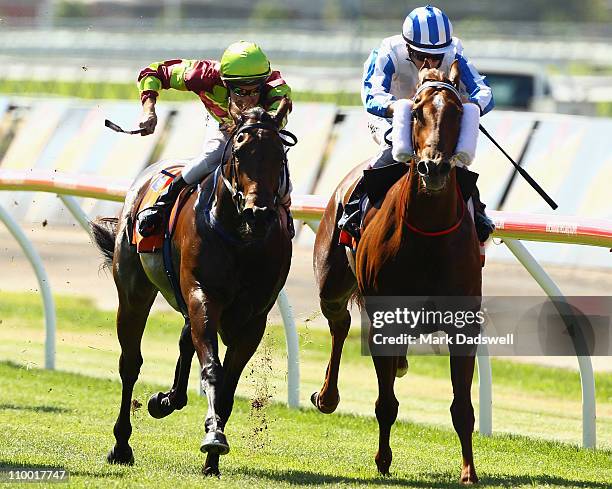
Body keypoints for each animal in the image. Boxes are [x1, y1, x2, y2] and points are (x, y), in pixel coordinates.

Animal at [89, 100, 296, 476]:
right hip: (133, 292)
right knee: (130, 364)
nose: (259, 213)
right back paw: (122, 445)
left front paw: (212, 459)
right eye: (239, 152)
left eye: (280, 154)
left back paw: (167, 400)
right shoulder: (203, 296)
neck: (241, 239)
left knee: (184, 341)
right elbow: (212, 369)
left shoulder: (253, 319)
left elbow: (227, 386)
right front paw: (213, 436)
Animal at [314, 61, 480, 480]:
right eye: (416, 111)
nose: (433, 168)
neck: (428, 234)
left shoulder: (464, 322)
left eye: (457, 111)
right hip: (331, 284)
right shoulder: (384, 316)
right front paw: (383, 460)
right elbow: (386, 402)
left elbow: (462, 408)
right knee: (340, 323)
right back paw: (326, 396)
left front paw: (469, 471)